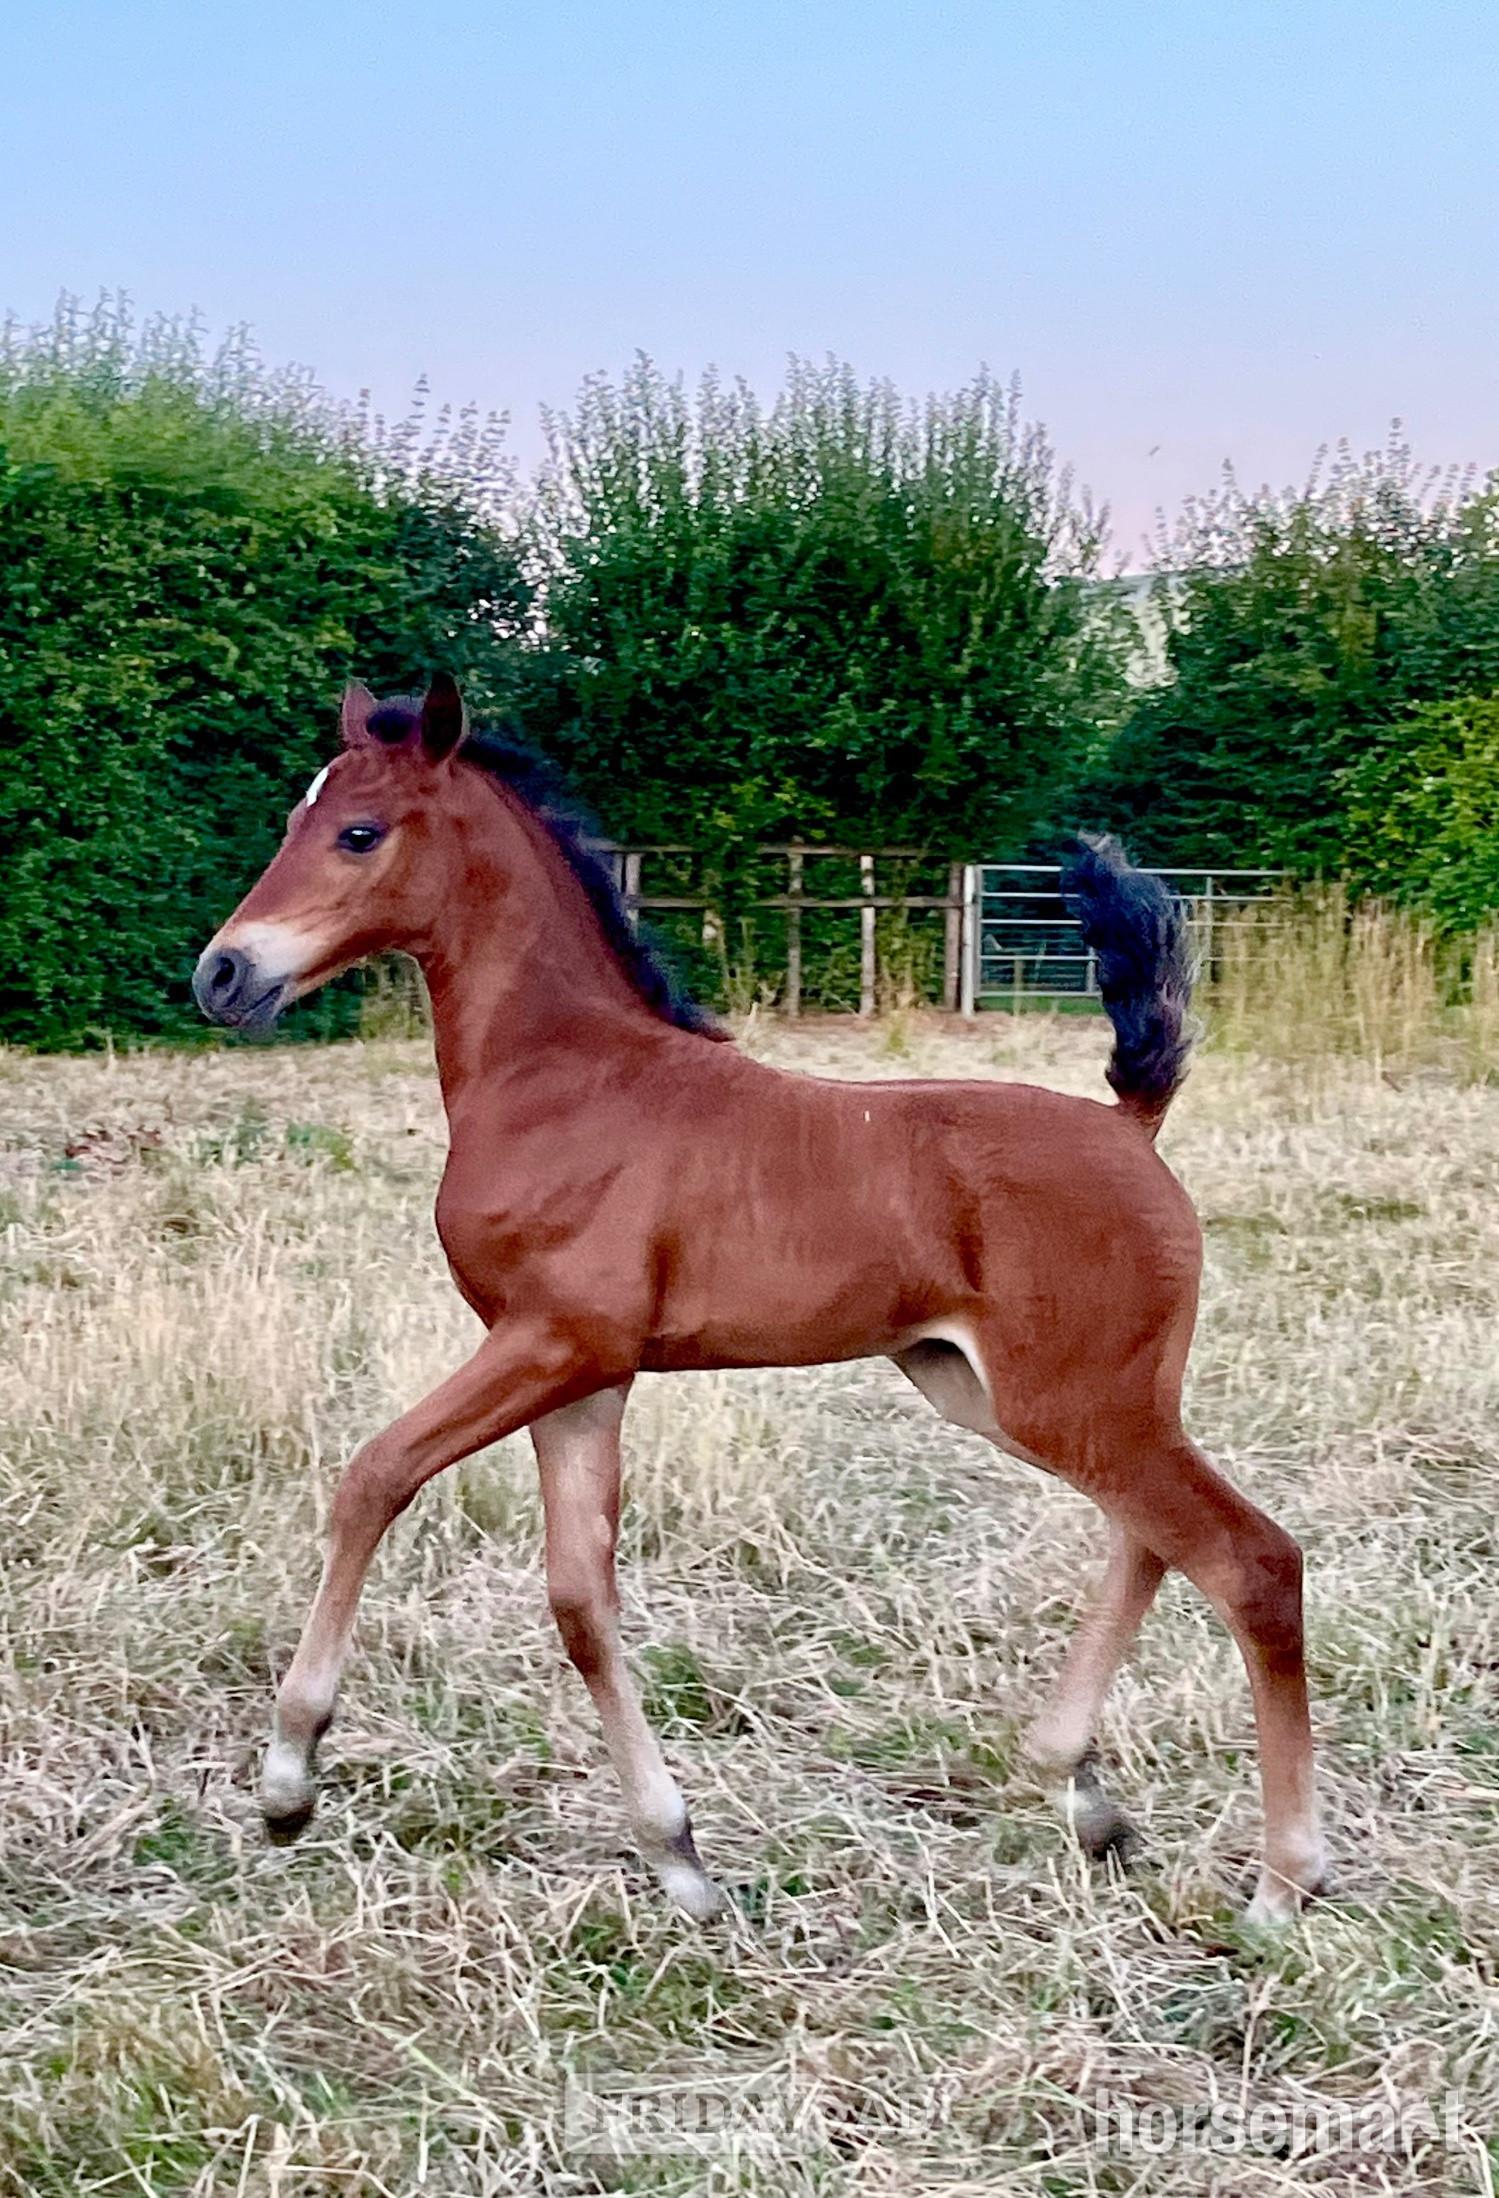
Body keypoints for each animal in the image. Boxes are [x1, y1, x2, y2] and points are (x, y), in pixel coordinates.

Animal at [193, 675, 1325, 1927]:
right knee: (1151, 1538)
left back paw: (1281, 1883)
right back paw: (1079, 1790)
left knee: (1250, 1560)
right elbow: (579, 1597)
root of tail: (1132, 1124)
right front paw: (678, 1856)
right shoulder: (580, 1376)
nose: (221, 975)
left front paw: (287, 1778)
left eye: (358, 832)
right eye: (298, 818)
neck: (560, 1079)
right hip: (1003, 1390)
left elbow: (373, 1477)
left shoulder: (555, 1340)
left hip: (1074, 1401)